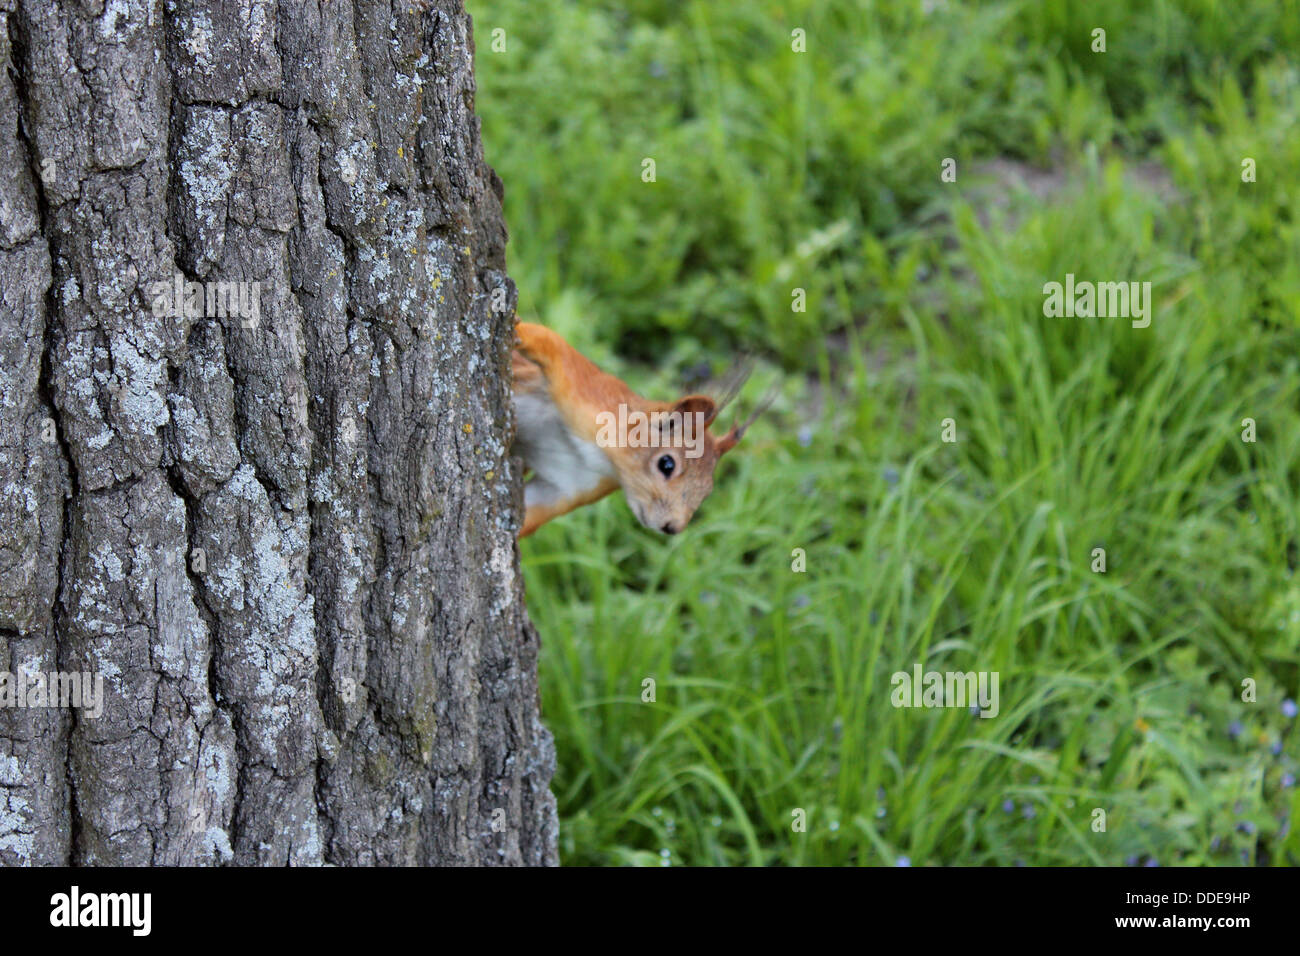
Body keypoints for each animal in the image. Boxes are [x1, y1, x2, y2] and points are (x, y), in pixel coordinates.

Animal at [509, 323, 769, 538]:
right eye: (666, 464)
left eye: (707, 492)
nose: (673, 528)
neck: (600, 456)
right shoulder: (589, 394)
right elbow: (552, 344)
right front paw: (518, 330)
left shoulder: (572, 485)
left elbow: (534, 510)